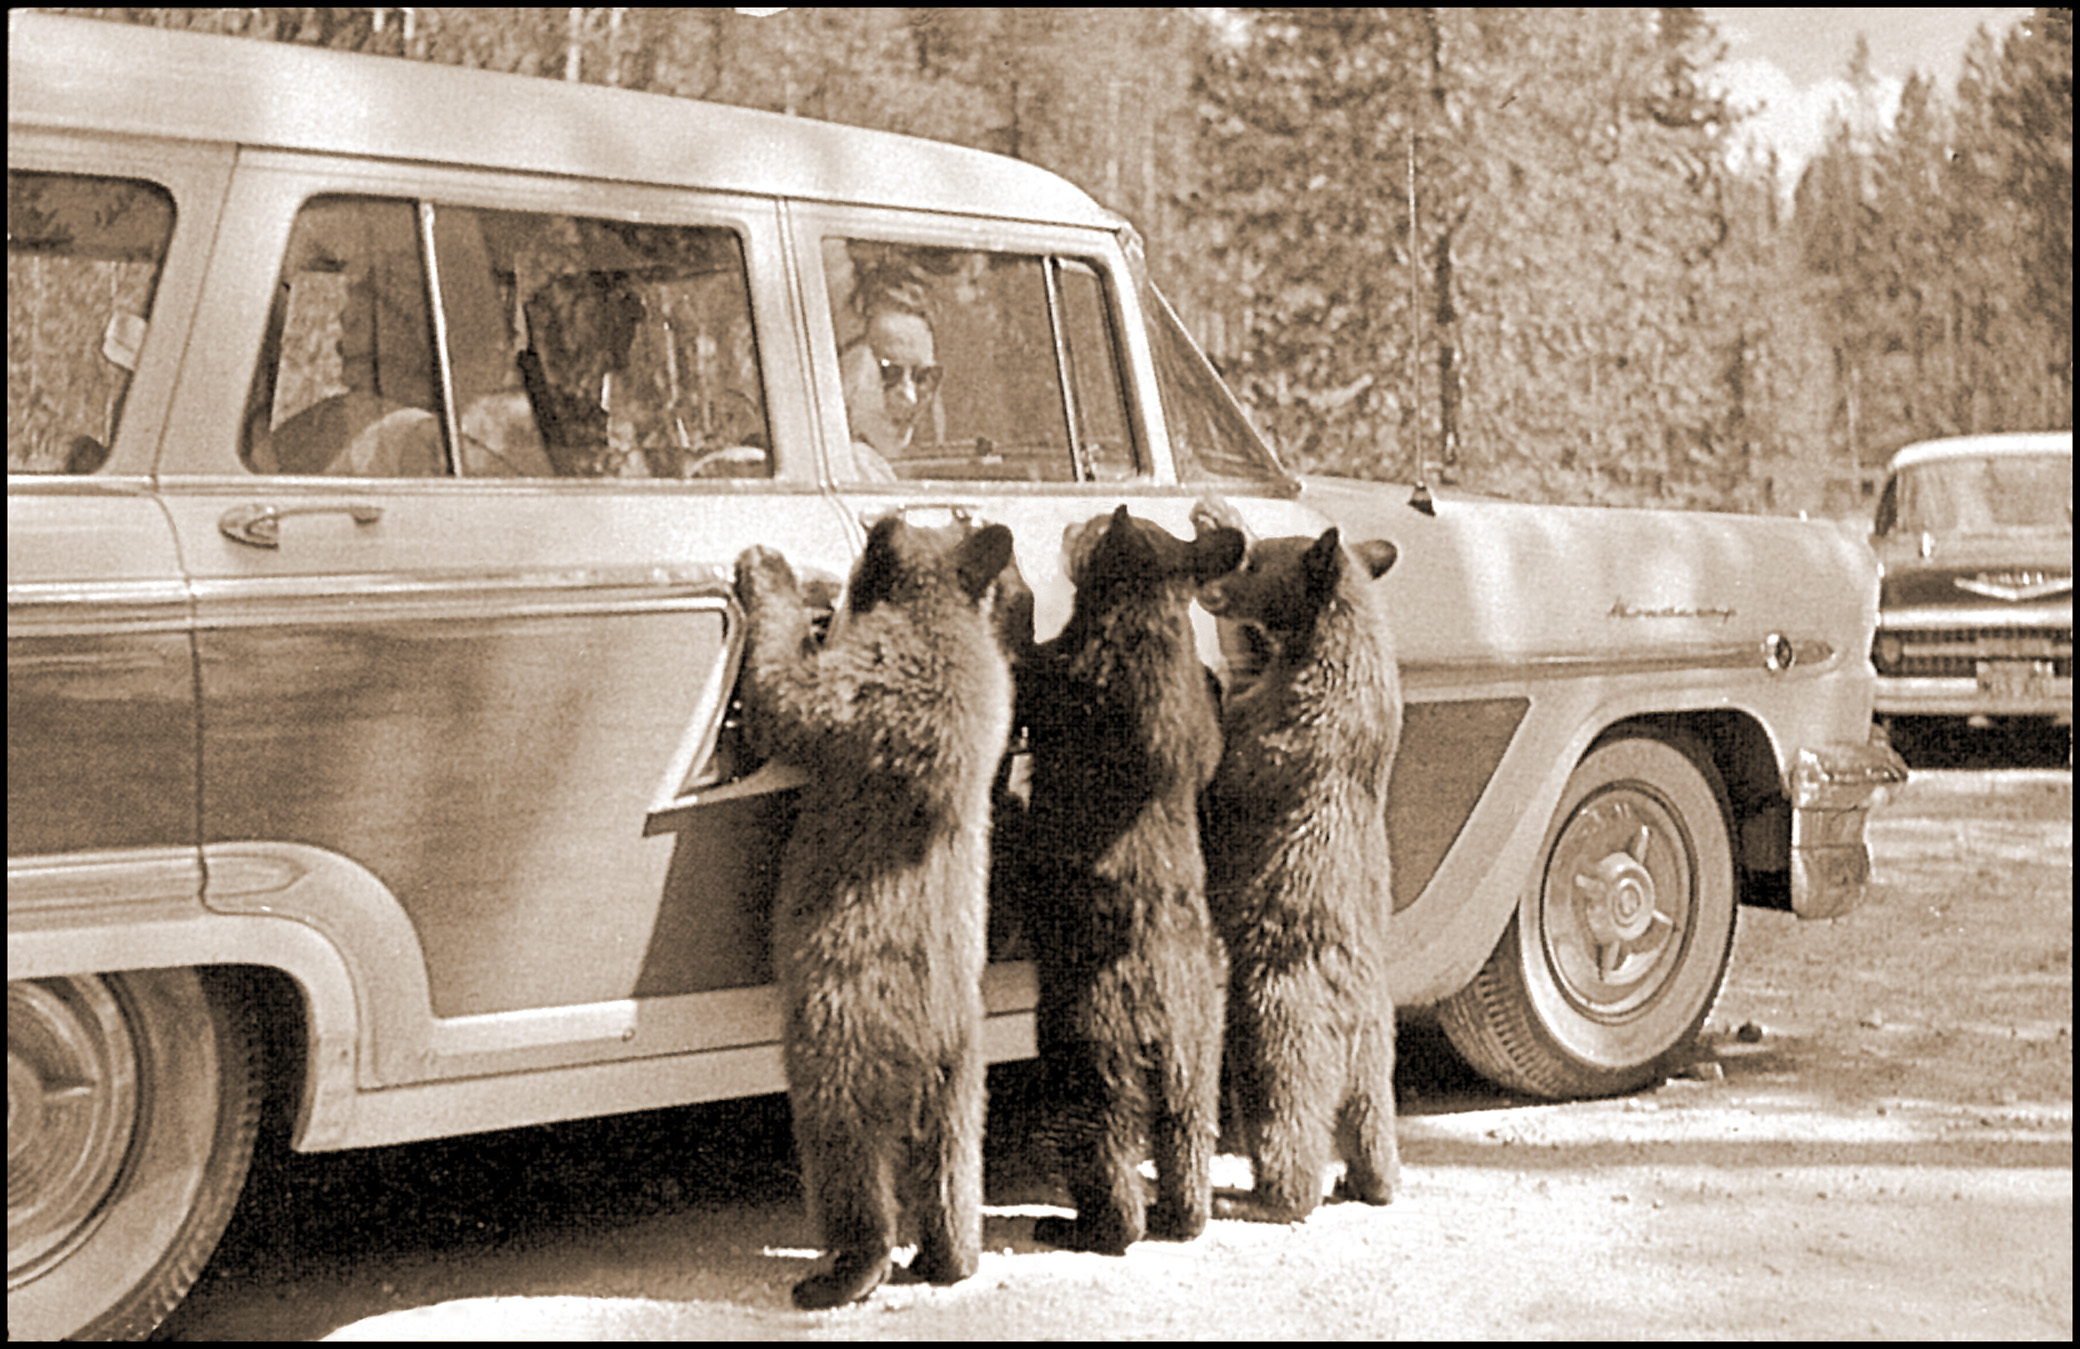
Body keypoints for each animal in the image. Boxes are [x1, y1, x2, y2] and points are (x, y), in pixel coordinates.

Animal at [736, 515, 1019, 1305]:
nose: (850, 560)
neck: (941, 617)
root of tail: (930, 1046)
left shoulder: (863, 676)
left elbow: (787, 693)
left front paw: (767, 569)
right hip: (964, 1082)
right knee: (952, 1176)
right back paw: (949, 1262)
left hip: (836, 1052)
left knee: (852, 1171)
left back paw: (841, 1275)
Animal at [1015, 503, 1239, 1255]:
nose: (1067, 526)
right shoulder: (1197, 705)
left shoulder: (1068, 673)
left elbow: (1035, 674)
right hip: (1202, 1046)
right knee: (1189, 1132)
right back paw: (1185, 1215)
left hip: (1089, 1051)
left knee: (1103, 1142)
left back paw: (1087, 1226)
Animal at [1198, 525, 1406, 1222]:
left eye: (1251, 563)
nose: (1207, 588)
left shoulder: (1292, 729)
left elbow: (1231, 758)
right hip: (1377, 1053)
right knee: (1372, 1122)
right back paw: (1369, 1183)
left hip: (1276, 1019)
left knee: (1286, 1112)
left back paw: (1273, 1195)